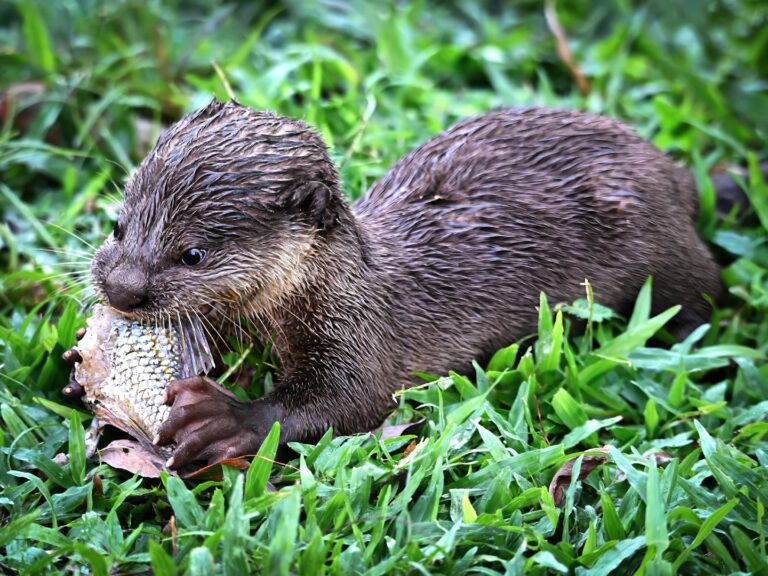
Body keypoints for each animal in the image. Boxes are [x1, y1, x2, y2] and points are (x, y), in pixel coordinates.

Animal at [82, 100, 722, 468]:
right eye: (118, 225)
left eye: (192, 254)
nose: (120, 289)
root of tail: (671, 171)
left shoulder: (358, 330)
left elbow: (351, 399)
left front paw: (226, 420)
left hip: (663, 251)